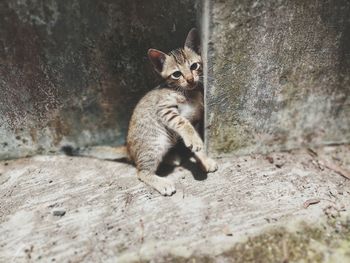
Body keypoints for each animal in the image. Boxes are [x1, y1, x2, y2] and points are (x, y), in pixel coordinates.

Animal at [62, 28, 216, 196]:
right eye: (176, 74)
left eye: (194, 66)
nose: (190, 79)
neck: (188, 93)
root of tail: (128, 148)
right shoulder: (163, 108)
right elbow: (182, 122)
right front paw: (195, 143)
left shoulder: (196, 121)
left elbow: (197, 139)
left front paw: (204, 159)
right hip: (155, 143)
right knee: (141, 172)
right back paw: (162, 182)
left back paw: (172, 157)